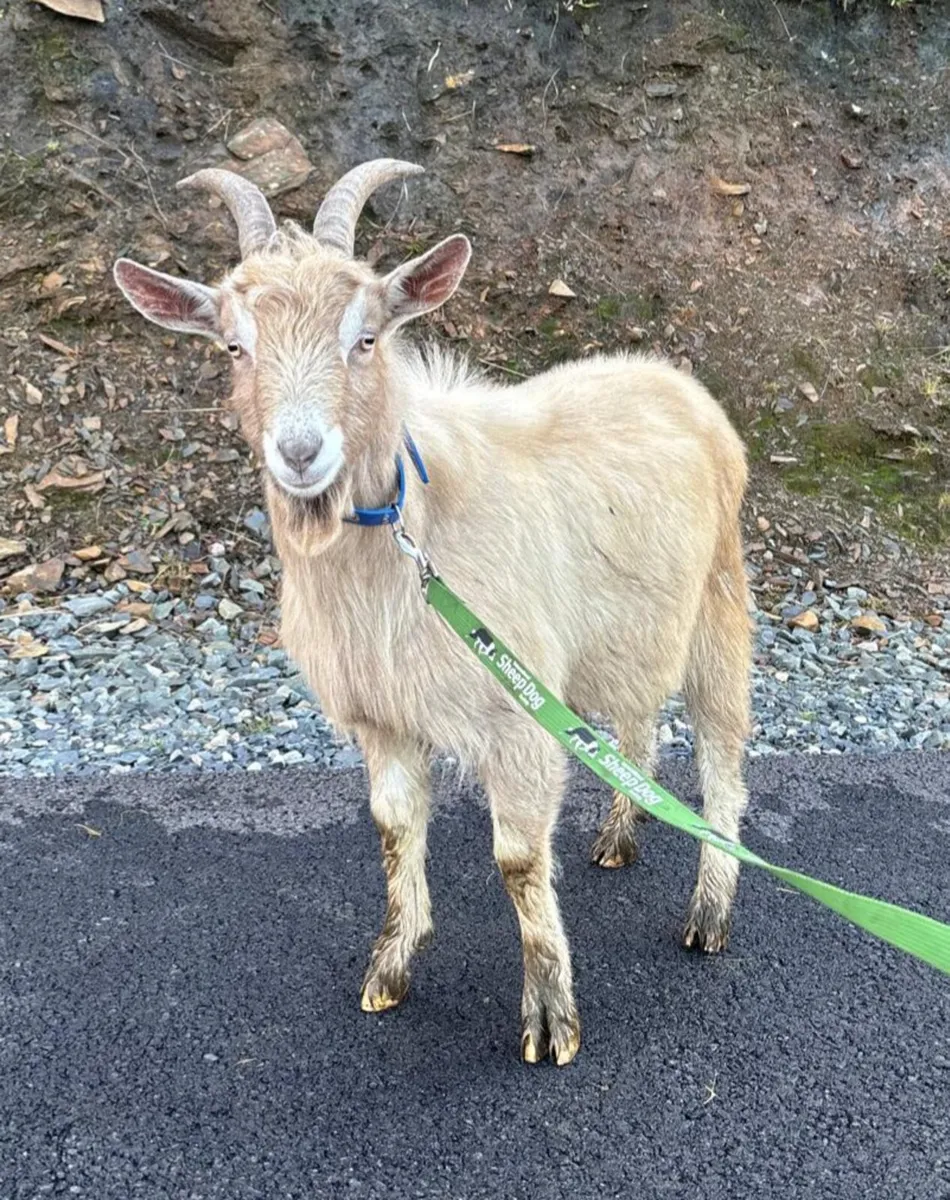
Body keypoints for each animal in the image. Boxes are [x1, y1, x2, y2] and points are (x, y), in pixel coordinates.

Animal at [113, 159, 752, 1067]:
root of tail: (677, 380)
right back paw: (620, 834)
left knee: (724, 761)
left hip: (719, 606)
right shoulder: (382, 717)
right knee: (637, 721)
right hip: (624, 635)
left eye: (366, 337)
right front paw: (392, 966)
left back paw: (710, 911)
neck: (412, 537)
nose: (301, 453)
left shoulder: (515, 714)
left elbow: (517, 861)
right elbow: (392, 828)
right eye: (234, 345)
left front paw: (550, 1017)